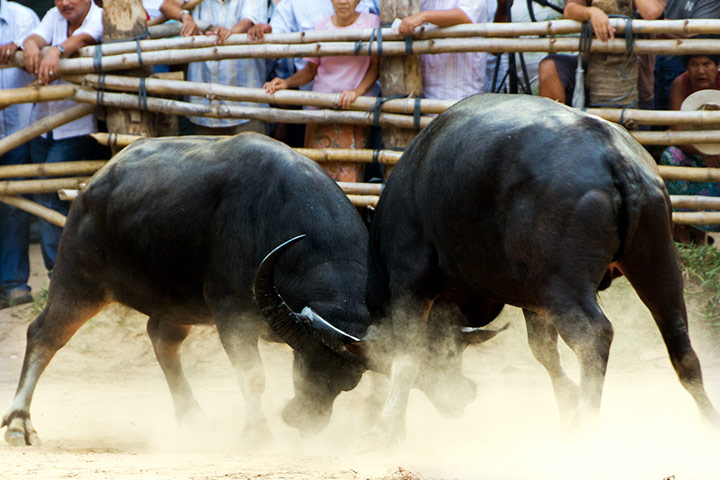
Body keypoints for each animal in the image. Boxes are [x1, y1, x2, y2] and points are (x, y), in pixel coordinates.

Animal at [5, 132, 374, 446]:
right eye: (307, 369)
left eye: (347, 384)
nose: (303, 419)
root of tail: (92, 185)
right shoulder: (232, 315)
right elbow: (253, 375)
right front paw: (257, 433)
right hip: (78, 279)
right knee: (43, 335)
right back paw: (20, 423)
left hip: (177, 304)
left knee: (162, 339)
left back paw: (192, 417)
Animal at [258, 95, 720, 444]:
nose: (460, 397)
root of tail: (613, 156)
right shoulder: (532, 300)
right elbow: (542, 350)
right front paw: (566, 404)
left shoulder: (411, 281)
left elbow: (407, 353)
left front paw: (388, 428)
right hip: (656, 261)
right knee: (681, 343)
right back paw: (704, 423)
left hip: (566, 284)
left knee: (594, 336)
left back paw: (588, 427)